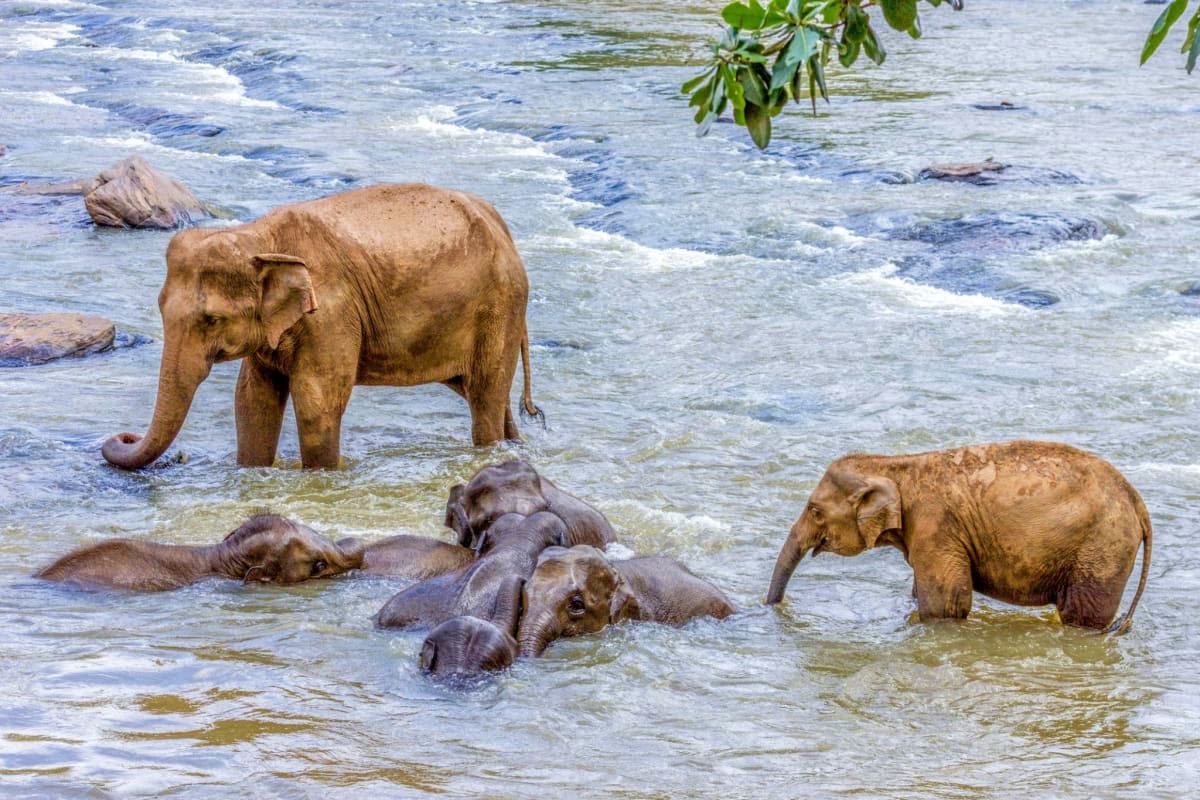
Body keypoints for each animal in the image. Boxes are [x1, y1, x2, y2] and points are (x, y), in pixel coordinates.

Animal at [101, 183, 540, 471]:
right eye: (160, 308)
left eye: (212, 320)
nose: (125, 435)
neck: (261, 236)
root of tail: (503, 230)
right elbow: (252, 401)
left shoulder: (330, 314)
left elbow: (317, 401)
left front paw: (321, 476)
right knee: (482, 394)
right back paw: (515, 445)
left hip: (498, 307)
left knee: (485, 394)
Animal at [766, 441, 1153, 633]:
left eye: (815, 511)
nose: (773, 608)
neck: (896, 465)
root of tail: (1137, 501)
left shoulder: (936, 526)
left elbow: (946, 605)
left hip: (1101, 550)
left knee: (1081, 615)